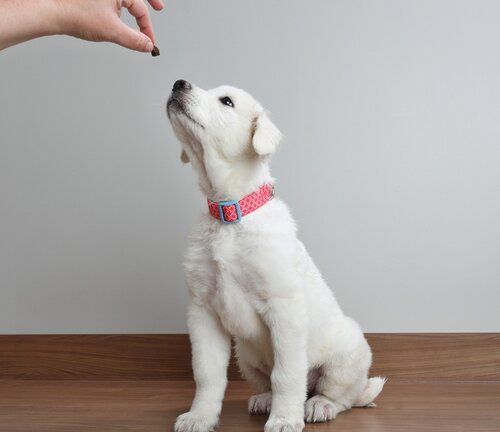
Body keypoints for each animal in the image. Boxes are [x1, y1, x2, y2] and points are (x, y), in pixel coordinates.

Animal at [167, 80, 382, 432]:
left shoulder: (284, 308)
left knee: (340, 396)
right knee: (269, 381)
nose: (178, 83)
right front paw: (200, 416)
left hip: (349, 354)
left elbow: (287, 375)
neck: (230, 213)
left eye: (226, 101)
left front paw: (284, 419)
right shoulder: (203, 311)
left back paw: (318, 406)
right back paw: (264, 400)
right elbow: (207, 373)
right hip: (246, 357)